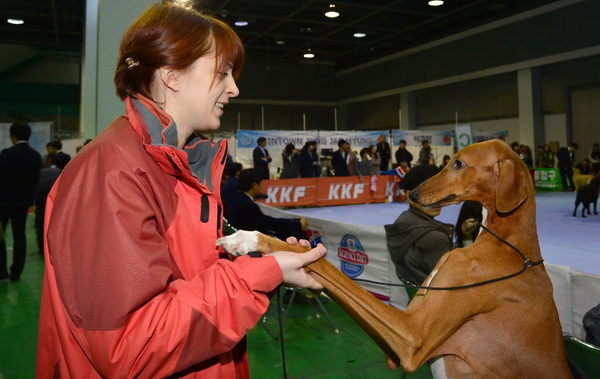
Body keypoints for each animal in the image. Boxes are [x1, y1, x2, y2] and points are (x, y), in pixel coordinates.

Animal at [217, 141, 572, 378]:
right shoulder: (401, 344)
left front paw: (249, 238)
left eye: (459, 164)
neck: (508, 245)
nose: (411, 193)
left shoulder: (412, 338)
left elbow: (320, 261)